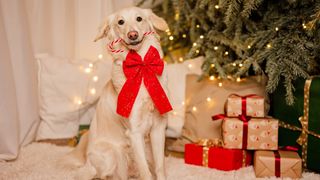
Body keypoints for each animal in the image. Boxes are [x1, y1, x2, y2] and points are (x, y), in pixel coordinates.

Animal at [62, 6, 172, 180]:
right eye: (121, 22)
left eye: (139, 18)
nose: (132, 34)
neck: (141, 67)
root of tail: (87, 160)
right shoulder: (135, 132)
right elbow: (145, 172)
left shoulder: (158, 128)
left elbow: (160, 166)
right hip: (113, 154)